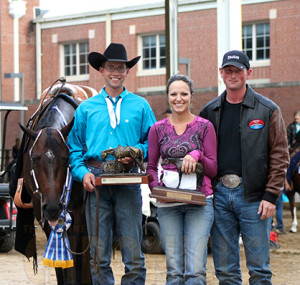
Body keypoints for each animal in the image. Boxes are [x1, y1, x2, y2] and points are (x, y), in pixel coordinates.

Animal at [10, 78, 96, 284]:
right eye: (34, 158)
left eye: (66, 159)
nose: (53, 207)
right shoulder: (42, 213)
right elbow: (60, 265)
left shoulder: (79, 213)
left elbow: (79, 261)